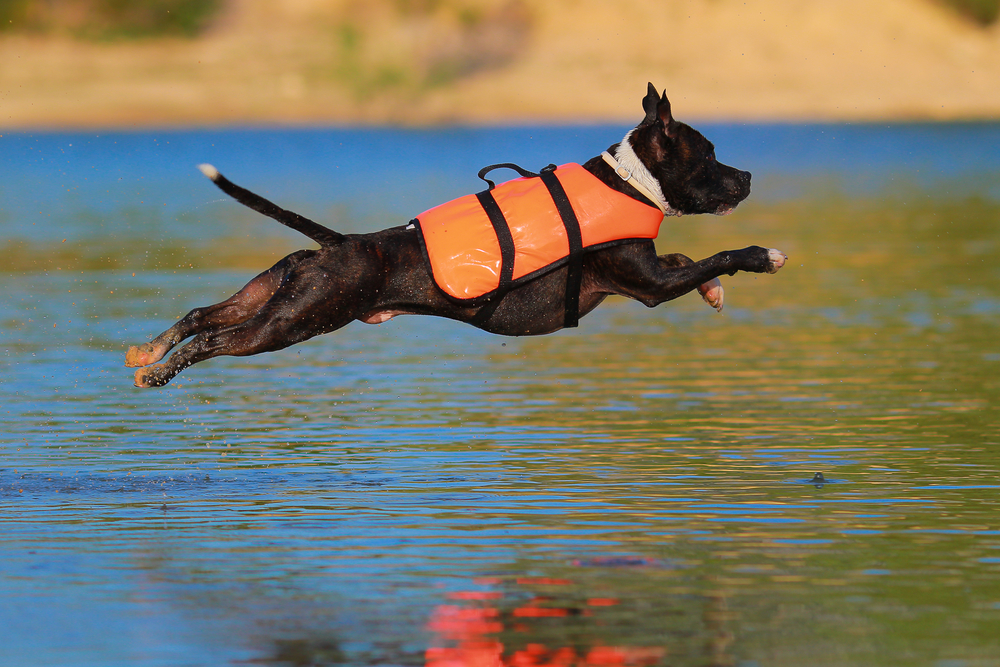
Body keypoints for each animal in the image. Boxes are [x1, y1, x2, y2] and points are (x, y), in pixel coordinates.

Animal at [125, 84, 784, 388]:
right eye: (710, 154)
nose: (749, 177)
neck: (630, 181)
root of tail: (339, 243)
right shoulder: (647, 286)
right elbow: (717, 254)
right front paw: (763, 255)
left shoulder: (651, 272)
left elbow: (690, 258)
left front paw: (714, 293)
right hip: (294, 321)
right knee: (216, 341)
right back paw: (161, 372)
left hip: (277, 293)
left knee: (204, 313)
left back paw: (149, 352)